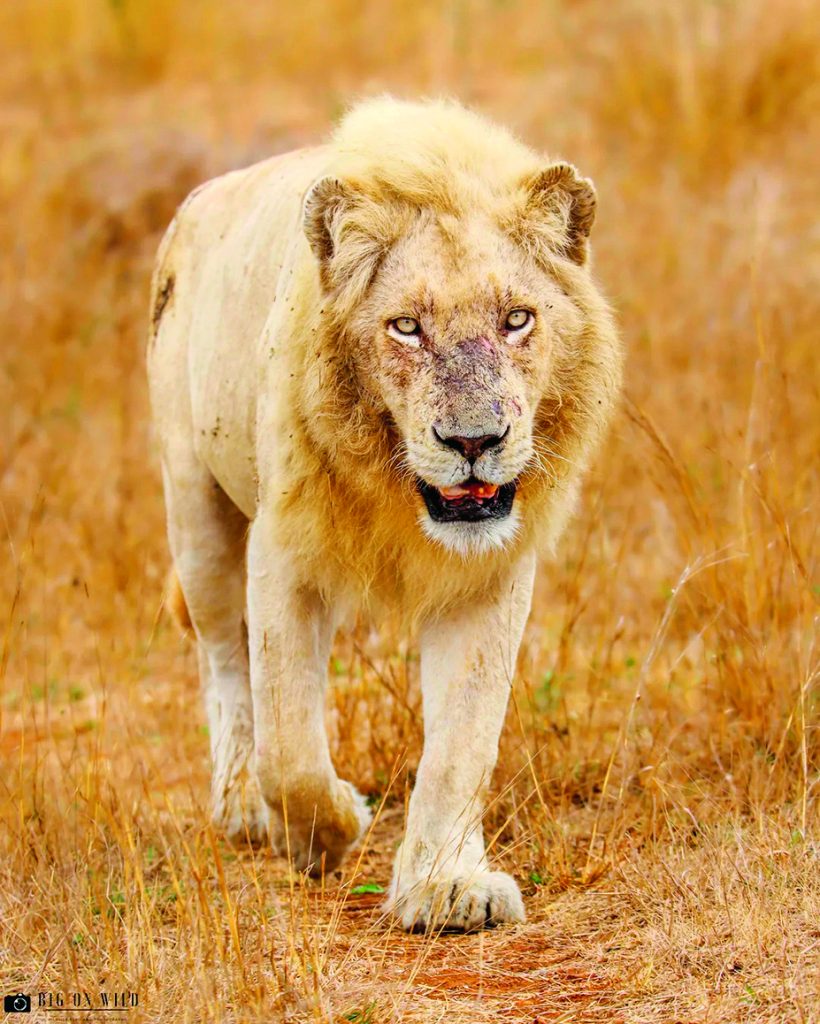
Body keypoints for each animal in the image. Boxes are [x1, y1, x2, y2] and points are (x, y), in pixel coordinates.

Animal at [147, 97, 622, 932]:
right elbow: (291, 749)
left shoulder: (490, 577)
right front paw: (326, 831)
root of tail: (198, 198)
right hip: (196, 511)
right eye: (406, 326)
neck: (402, 493)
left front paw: (445, 888)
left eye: (517, 319)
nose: (475, 440)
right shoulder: (284, 555)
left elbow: (463, 743)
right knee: (225, 660)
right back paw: (242, 807)